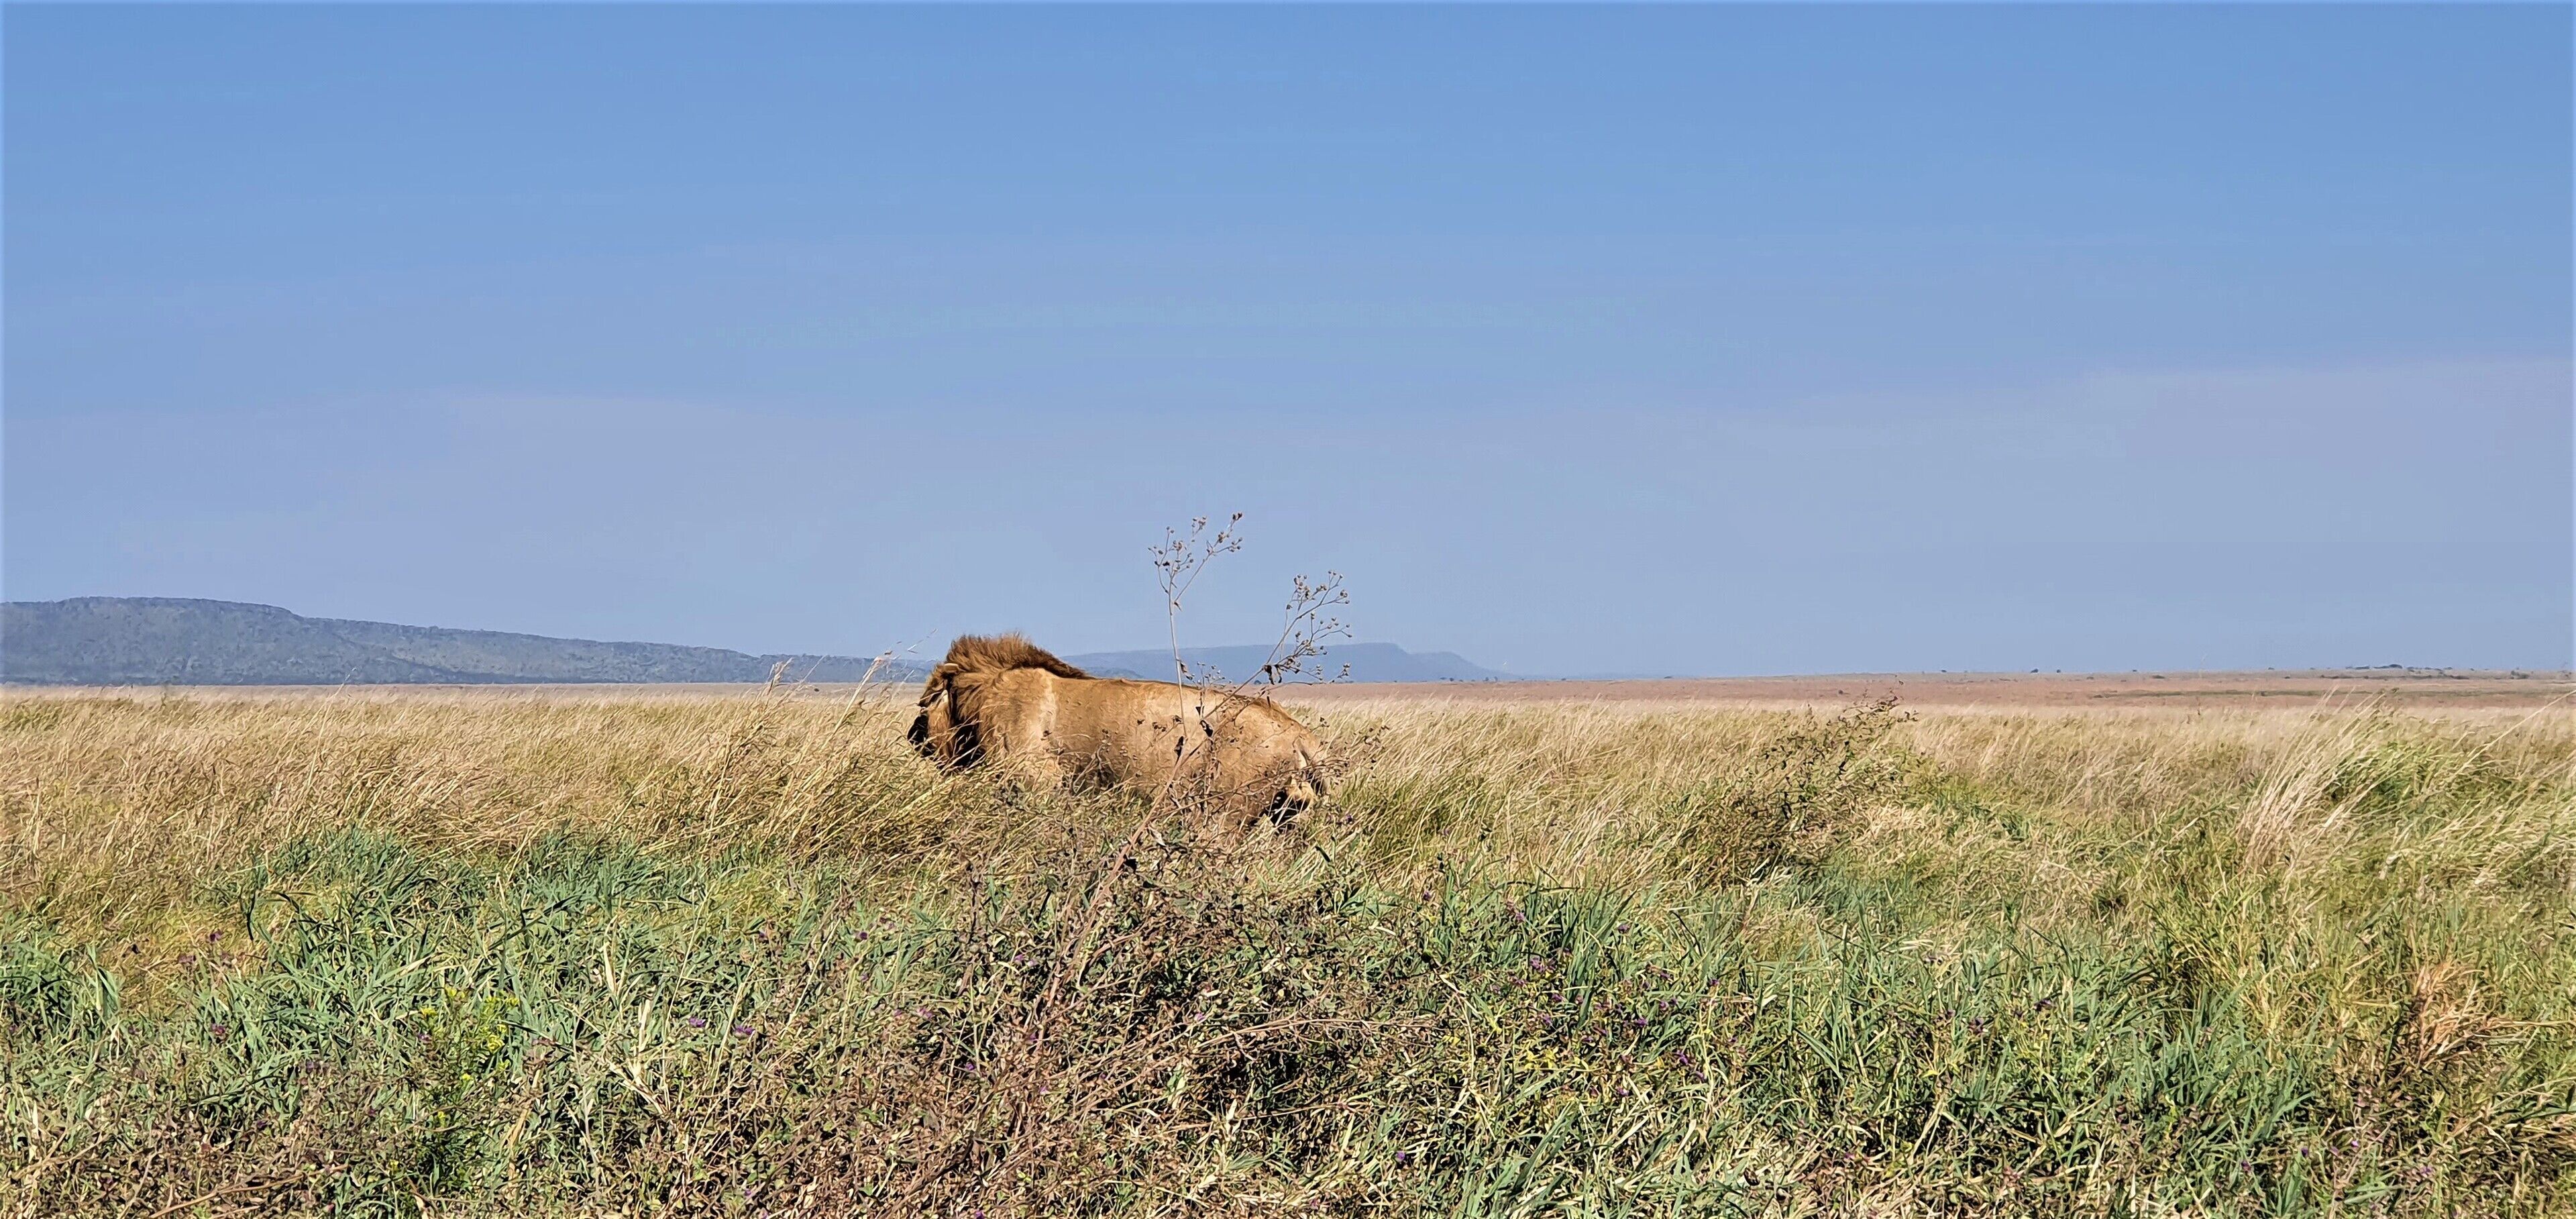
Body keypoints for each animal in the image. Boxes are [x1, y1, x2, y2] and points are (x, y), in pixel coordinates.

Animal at [906, 633, 1329, 826]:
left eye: (924, 711)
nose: (913, 738)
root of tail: (1299, 732)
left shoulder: (1037, 781)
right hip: (1288, 814)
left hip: (1225, 812)